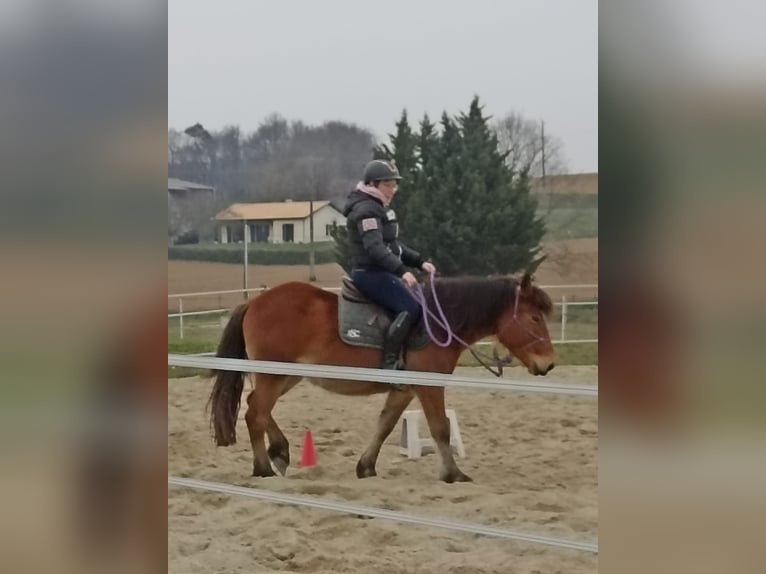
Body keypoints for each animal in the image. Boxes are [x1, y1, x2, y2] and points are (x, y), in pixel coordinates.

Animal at [208, 273, 555, 483]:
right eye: (534, 318)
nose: (549, 364)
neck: (438, 323)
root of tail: (254, 302)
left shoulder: (405, 390)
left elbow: (386, 424)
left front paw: (366, 466)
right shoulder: (429, 386)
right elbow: (440, 428)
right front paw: (453, 473)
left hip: (286, 377)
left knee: (257, 407)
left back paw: (279, 452)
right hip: (274, 374)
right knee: (256, 413)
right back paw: (264, 467)